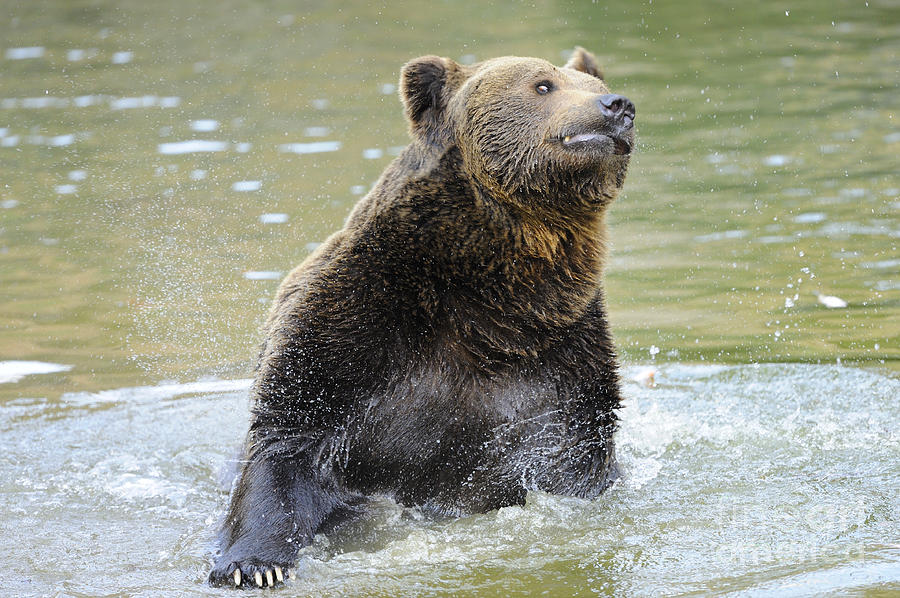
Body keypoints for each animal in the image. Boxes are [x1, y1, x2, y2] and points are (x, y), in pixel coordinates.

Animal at [208, 48, 636, 592]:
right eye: (543, 85)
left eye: (590, 82)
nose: (617, 105)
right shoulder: (354, 319)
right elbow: (288, 436)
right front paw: (253, 564)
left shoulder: (562, 349)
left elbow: (568, 449)